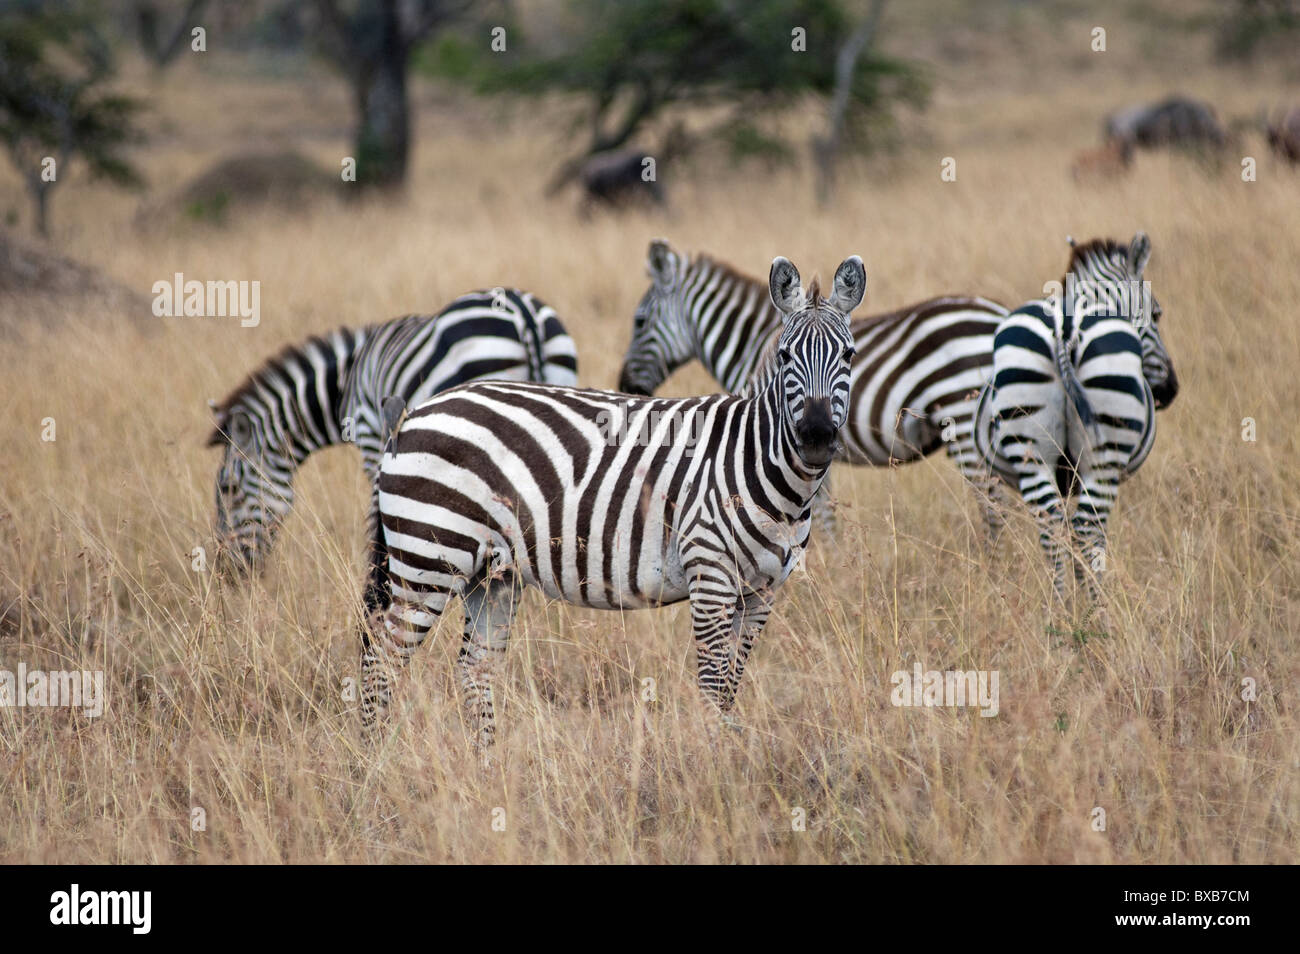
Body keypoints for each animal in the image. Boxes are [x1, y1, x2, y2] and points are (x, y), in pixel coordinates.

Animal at [364, 255, 865, 746]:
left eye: (849, 355)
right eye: (784, 356)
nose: (816, 436)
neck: (762, 466)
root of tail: (413, 416)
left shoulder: (762, 592)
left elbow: (729, 689)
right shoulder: (710, 576)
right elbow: (712, 687)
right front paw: (716, 762)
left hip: (491, 574)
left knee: (474, 667)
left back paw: (487, 763)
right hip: (429, 557)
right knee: (382, 660)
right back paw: (373, 761)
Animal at [617, 239, 1010, 535]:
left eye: (639, 322)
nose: (626, 386)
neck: (754, 343)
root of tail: (1001, 315)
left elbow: (818, 515)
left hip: (962, 420)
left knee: (993, 506)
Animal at [972, 232, 1179, 604]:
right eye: (1157, 314)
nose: (1170, 389)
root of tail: (1064, 327)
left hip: (1030, 449)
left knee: (1052, 525)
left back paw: (1058, 610)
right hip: (1104, 456)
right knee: (1086, 527)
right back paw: (1096, 613)